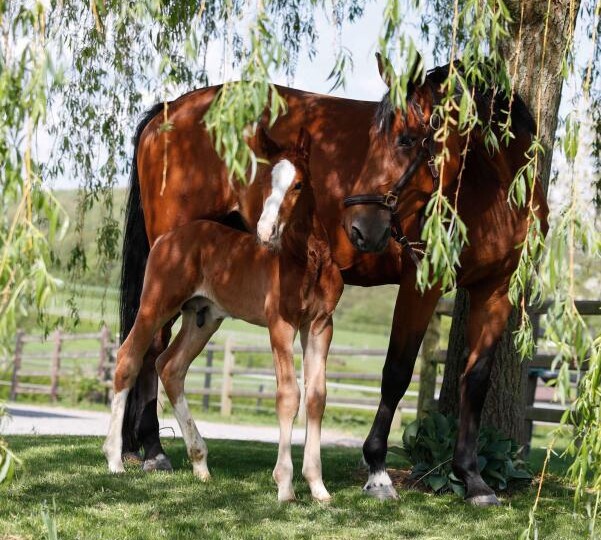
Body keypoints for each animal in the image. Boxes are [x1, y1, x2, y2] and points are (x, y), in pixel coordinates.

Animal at [103, 131, 342, 502]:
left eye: (299, 184)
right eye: (266, 181)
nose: (266, 231)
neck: (307, 260)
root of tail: (166, 239)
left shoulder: (320, 325)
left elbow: (317, 397)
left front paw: (318, 487)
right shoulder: (281, 324)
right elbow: (289, 396)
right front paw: (285, 485)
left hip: (202, 318)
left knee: (170, 367)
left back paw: (200, 463)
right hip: (156, 305)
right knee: (129, 357)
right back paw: (115, 459)